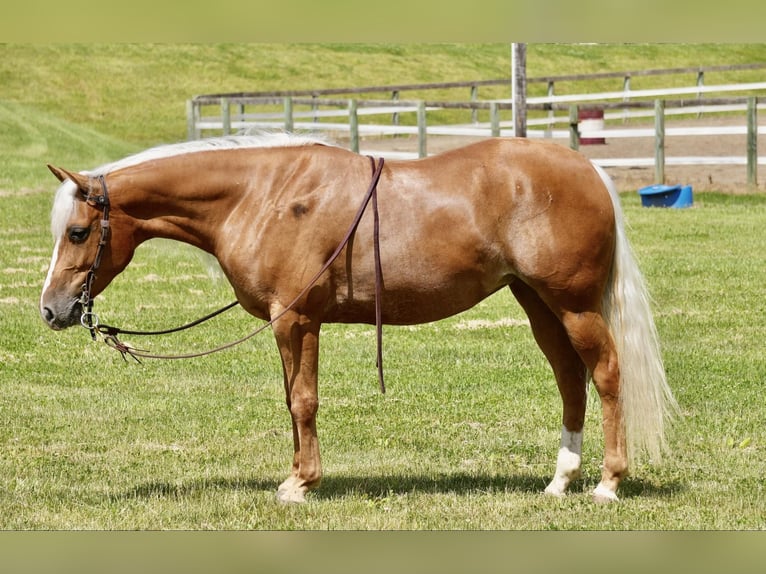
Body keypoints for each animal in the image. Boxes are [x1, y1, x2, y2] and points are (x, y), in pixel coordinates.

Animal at [40, 134, 680, 504]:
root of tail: (588, 170)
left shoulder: (295, 320)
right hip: (538, 303)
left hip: (572, 304)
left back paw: (607, 484)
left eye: (78, 233)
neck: (263, 195)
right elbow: (291, 402)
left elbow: (303, 402)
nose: (51, 309)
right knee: (571, 380)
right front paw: (295, 475)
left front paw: (301, 485)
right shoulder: (290, 326)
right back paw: (560, 480)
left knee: (606, 376)